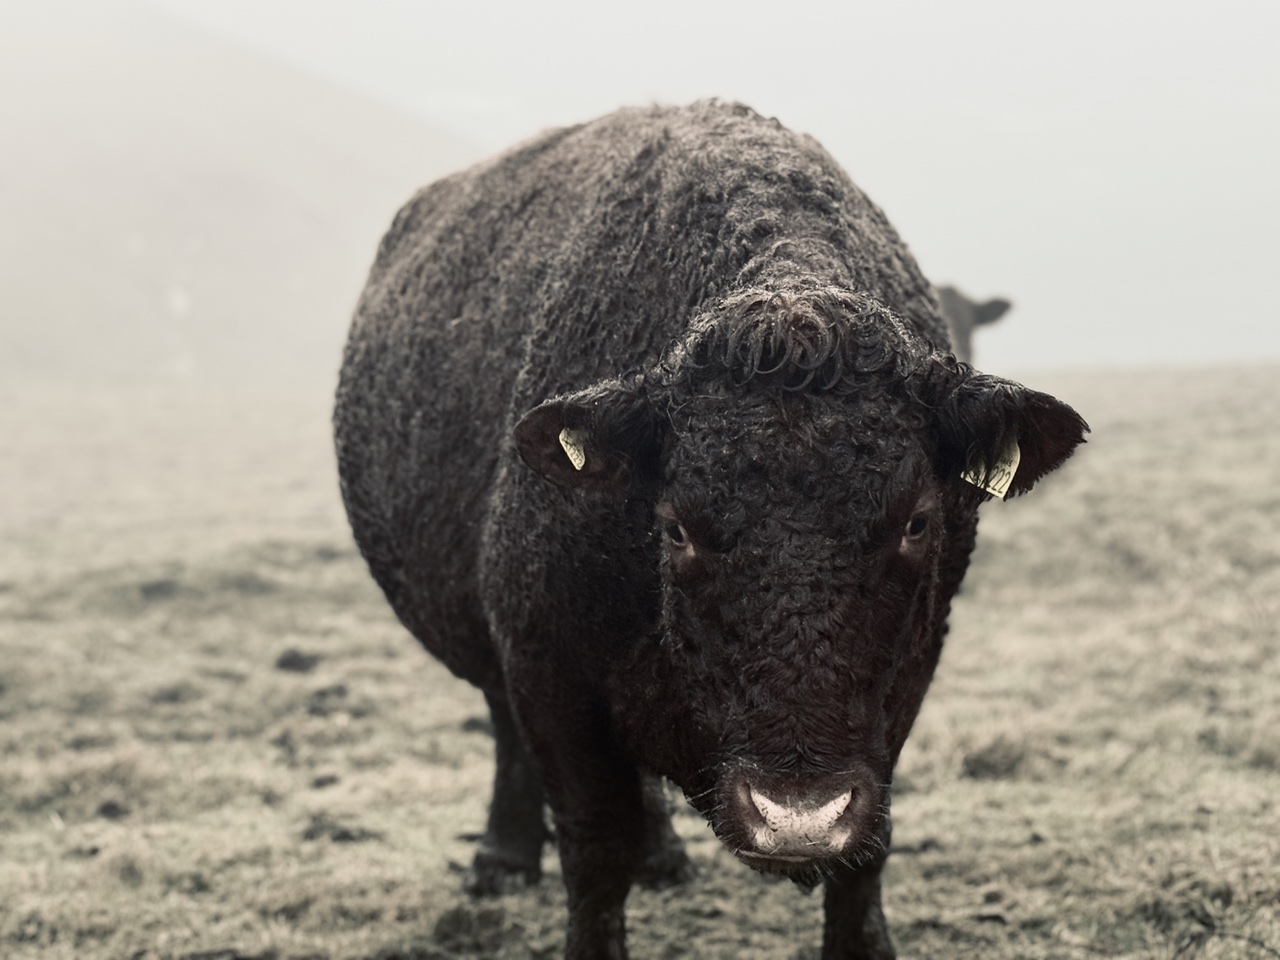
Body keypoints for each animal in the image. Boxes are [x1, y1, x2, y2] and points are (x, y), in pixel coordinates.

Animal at [334, 99, 1087, 959]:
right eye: (675, 528)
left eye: (918, 521)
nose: (796, 818)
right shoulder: (547, 666)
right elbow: (595, 849)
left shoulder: (905, 678)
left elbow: (866, 851)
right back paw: (502, 856)